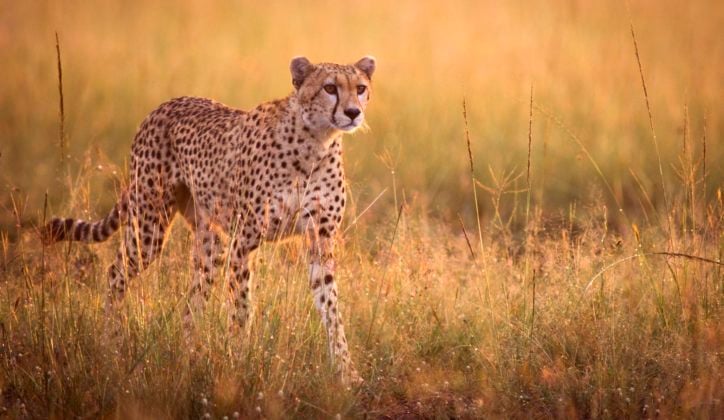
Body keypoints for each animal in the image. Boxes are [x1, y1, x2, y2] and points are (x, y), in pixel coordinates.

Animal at [42, 55, 376, 384]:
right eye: (330, 88)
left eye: (360, 88)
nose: (353, 112)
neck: (316, 141)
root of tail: (165, 104)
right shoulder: (244, 241)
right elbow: (241, 309)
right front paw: (241, 363)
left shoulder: (320, 240)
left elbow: (331, 307)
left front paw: (346, 372)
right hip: (149, 227)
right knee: (115, 273)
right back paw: (109, 343)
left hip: (210, 245)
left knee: (193, 301)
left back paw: (191, 356)